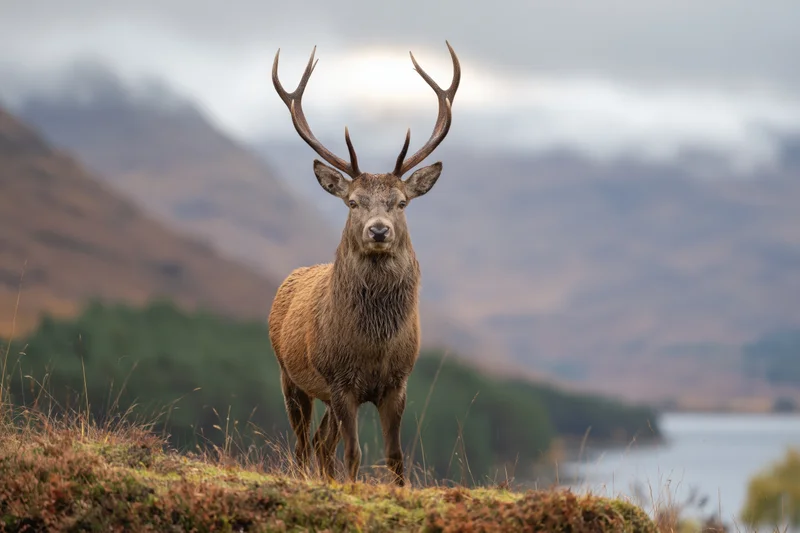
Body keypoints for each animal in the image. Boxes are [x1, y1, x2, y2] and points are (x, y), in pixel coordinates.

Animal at [268, 41, 460, 487]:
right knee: (304, 445)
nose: (378, 230)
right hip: (291, 376)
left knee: (322, 443)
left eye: (401, 202)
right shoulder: (341, 382)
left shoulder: (397, 383)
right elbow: (354, 454)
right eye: (353, 202)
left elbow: (395, 455)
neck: (373, 346)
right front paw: (350, 487)